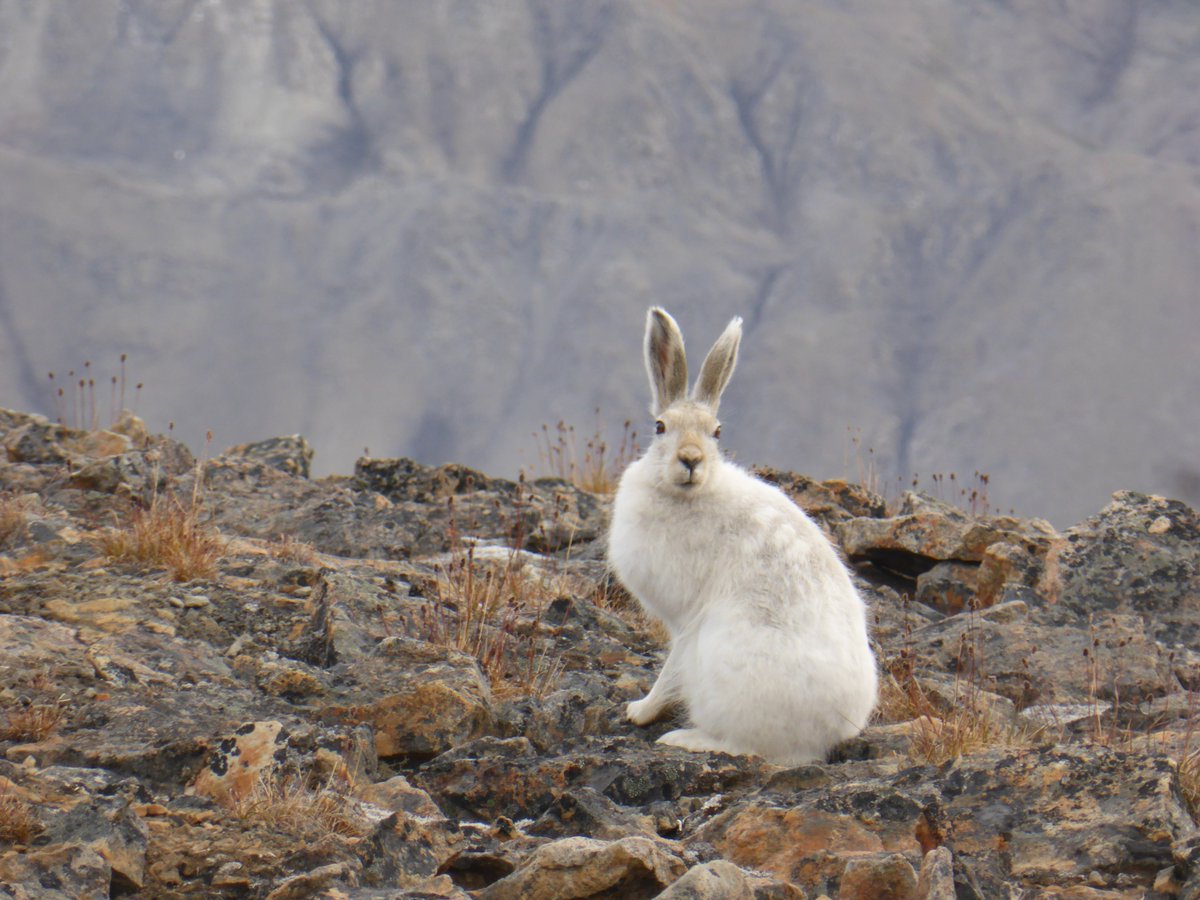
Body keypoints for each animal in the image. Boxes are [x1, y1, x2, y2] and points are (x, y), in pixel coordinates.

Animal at [608, 307, 878, 765]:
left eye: (717, 432)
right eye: (660, 427)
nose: (691, 460)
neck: (691, 495)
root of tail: (828, 735)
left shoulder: (685, 622)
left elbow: (671, 668)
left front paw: (639, 711)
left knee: (746, 746)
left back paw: (686, 738)